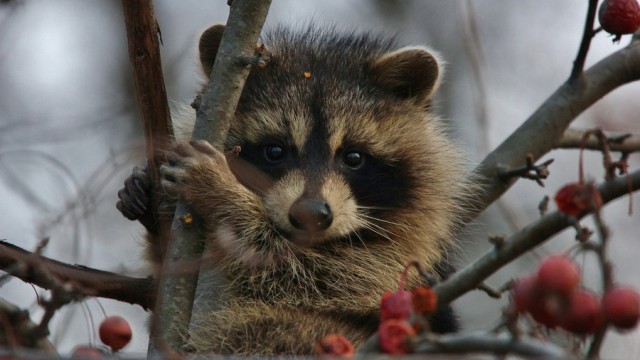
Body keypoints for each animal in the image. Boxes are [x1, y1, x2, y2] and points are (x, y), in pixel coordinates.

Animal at [117, 24, 468, 354]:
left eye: (354, 158)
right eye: (275, 151)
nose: (311, 214)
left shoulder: (385, 266)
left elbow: (297, 272)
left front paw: (223, 194)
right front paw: (147, 202)